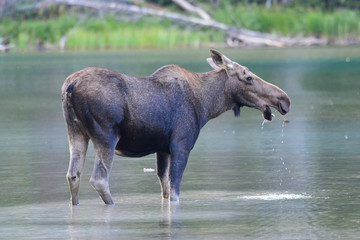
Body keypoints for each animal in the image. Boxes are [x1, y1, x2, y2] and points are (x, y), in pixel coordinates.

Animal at [60, 49, 288, 205]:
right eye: (249, 77)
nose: (284, 99)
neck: (207, 105)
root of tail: (69, 88)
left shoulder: (163, 149)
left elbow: (165, 188)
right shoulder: (181, 145)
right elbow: (175, 191)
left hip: (76, 132)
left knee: (73, 175)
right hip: (106, 135)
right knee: (99, 179)